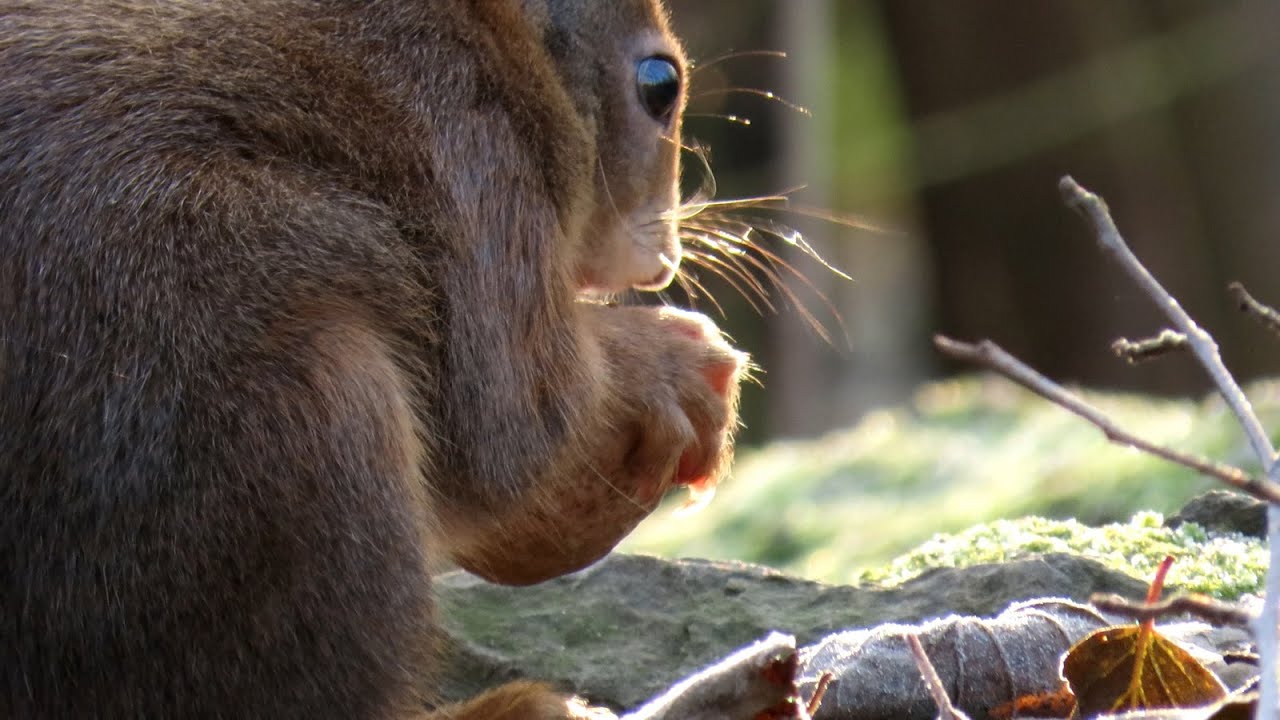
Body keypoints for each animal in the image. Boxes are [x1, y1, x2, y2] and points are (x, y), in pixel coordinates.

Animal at [0, 0, 746, 718]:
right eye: (660, 84)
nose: (665, 264)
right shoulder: (473, 148)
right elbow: (521, 427)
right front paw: (670, 366)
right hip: (305, 429)